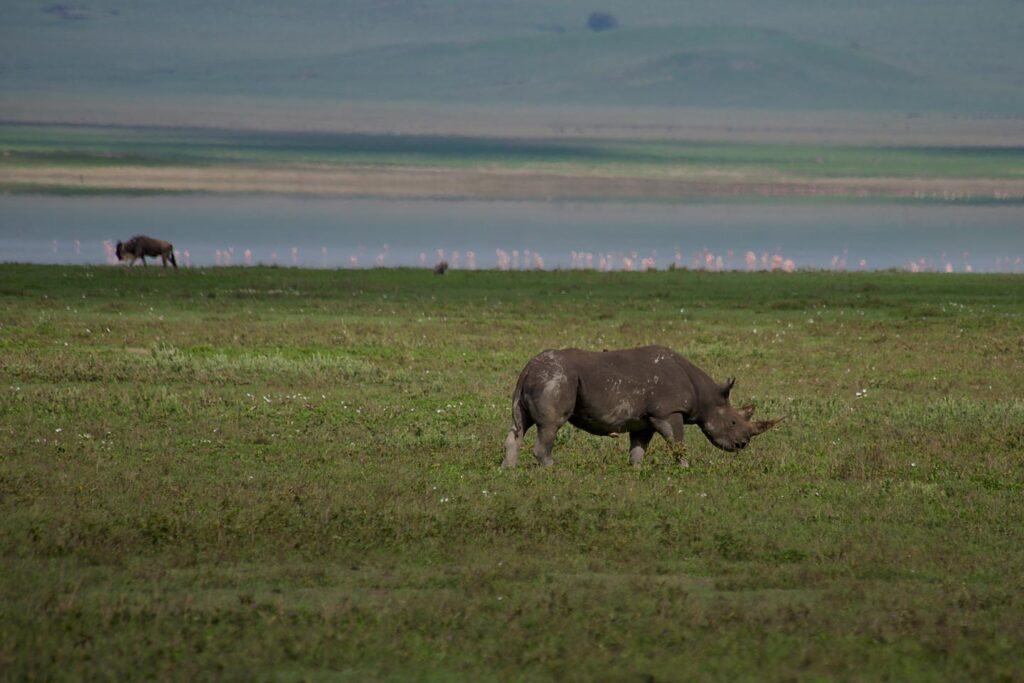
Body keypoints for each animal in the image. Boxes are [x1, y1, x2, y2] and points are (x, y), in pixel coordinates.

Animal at [503, 345, 782, 467]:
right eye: (733, 422)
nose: (742, 445)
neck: (706, 395)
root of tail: (528, 368)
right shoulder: (667, 412)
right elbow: (678, 444)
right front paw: (684, 470)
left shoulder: (644, 419)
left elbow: (638, 449)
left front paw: (635, 472)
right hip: (556, 379)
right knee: (550, 426)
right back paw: (552, 471)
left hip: (538, 380)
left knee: (519, 427)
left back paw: (509, 471)